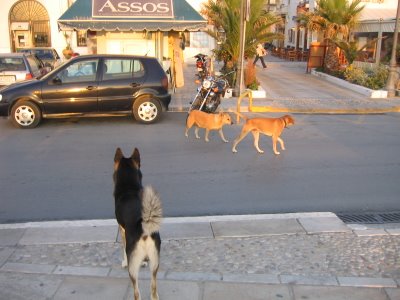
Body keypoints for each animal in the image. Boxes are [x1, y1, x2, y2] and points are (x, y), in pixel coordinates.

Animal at [113, 148, 162, 300]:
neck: (129, 187)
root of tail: (143, 227)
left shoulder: (122, 229)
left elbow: (123, 248)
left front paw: (124, 262)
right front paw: (144, 261)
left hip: (133, 270)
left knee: (136, 292)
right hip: (155, 263)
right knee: (153, 290)